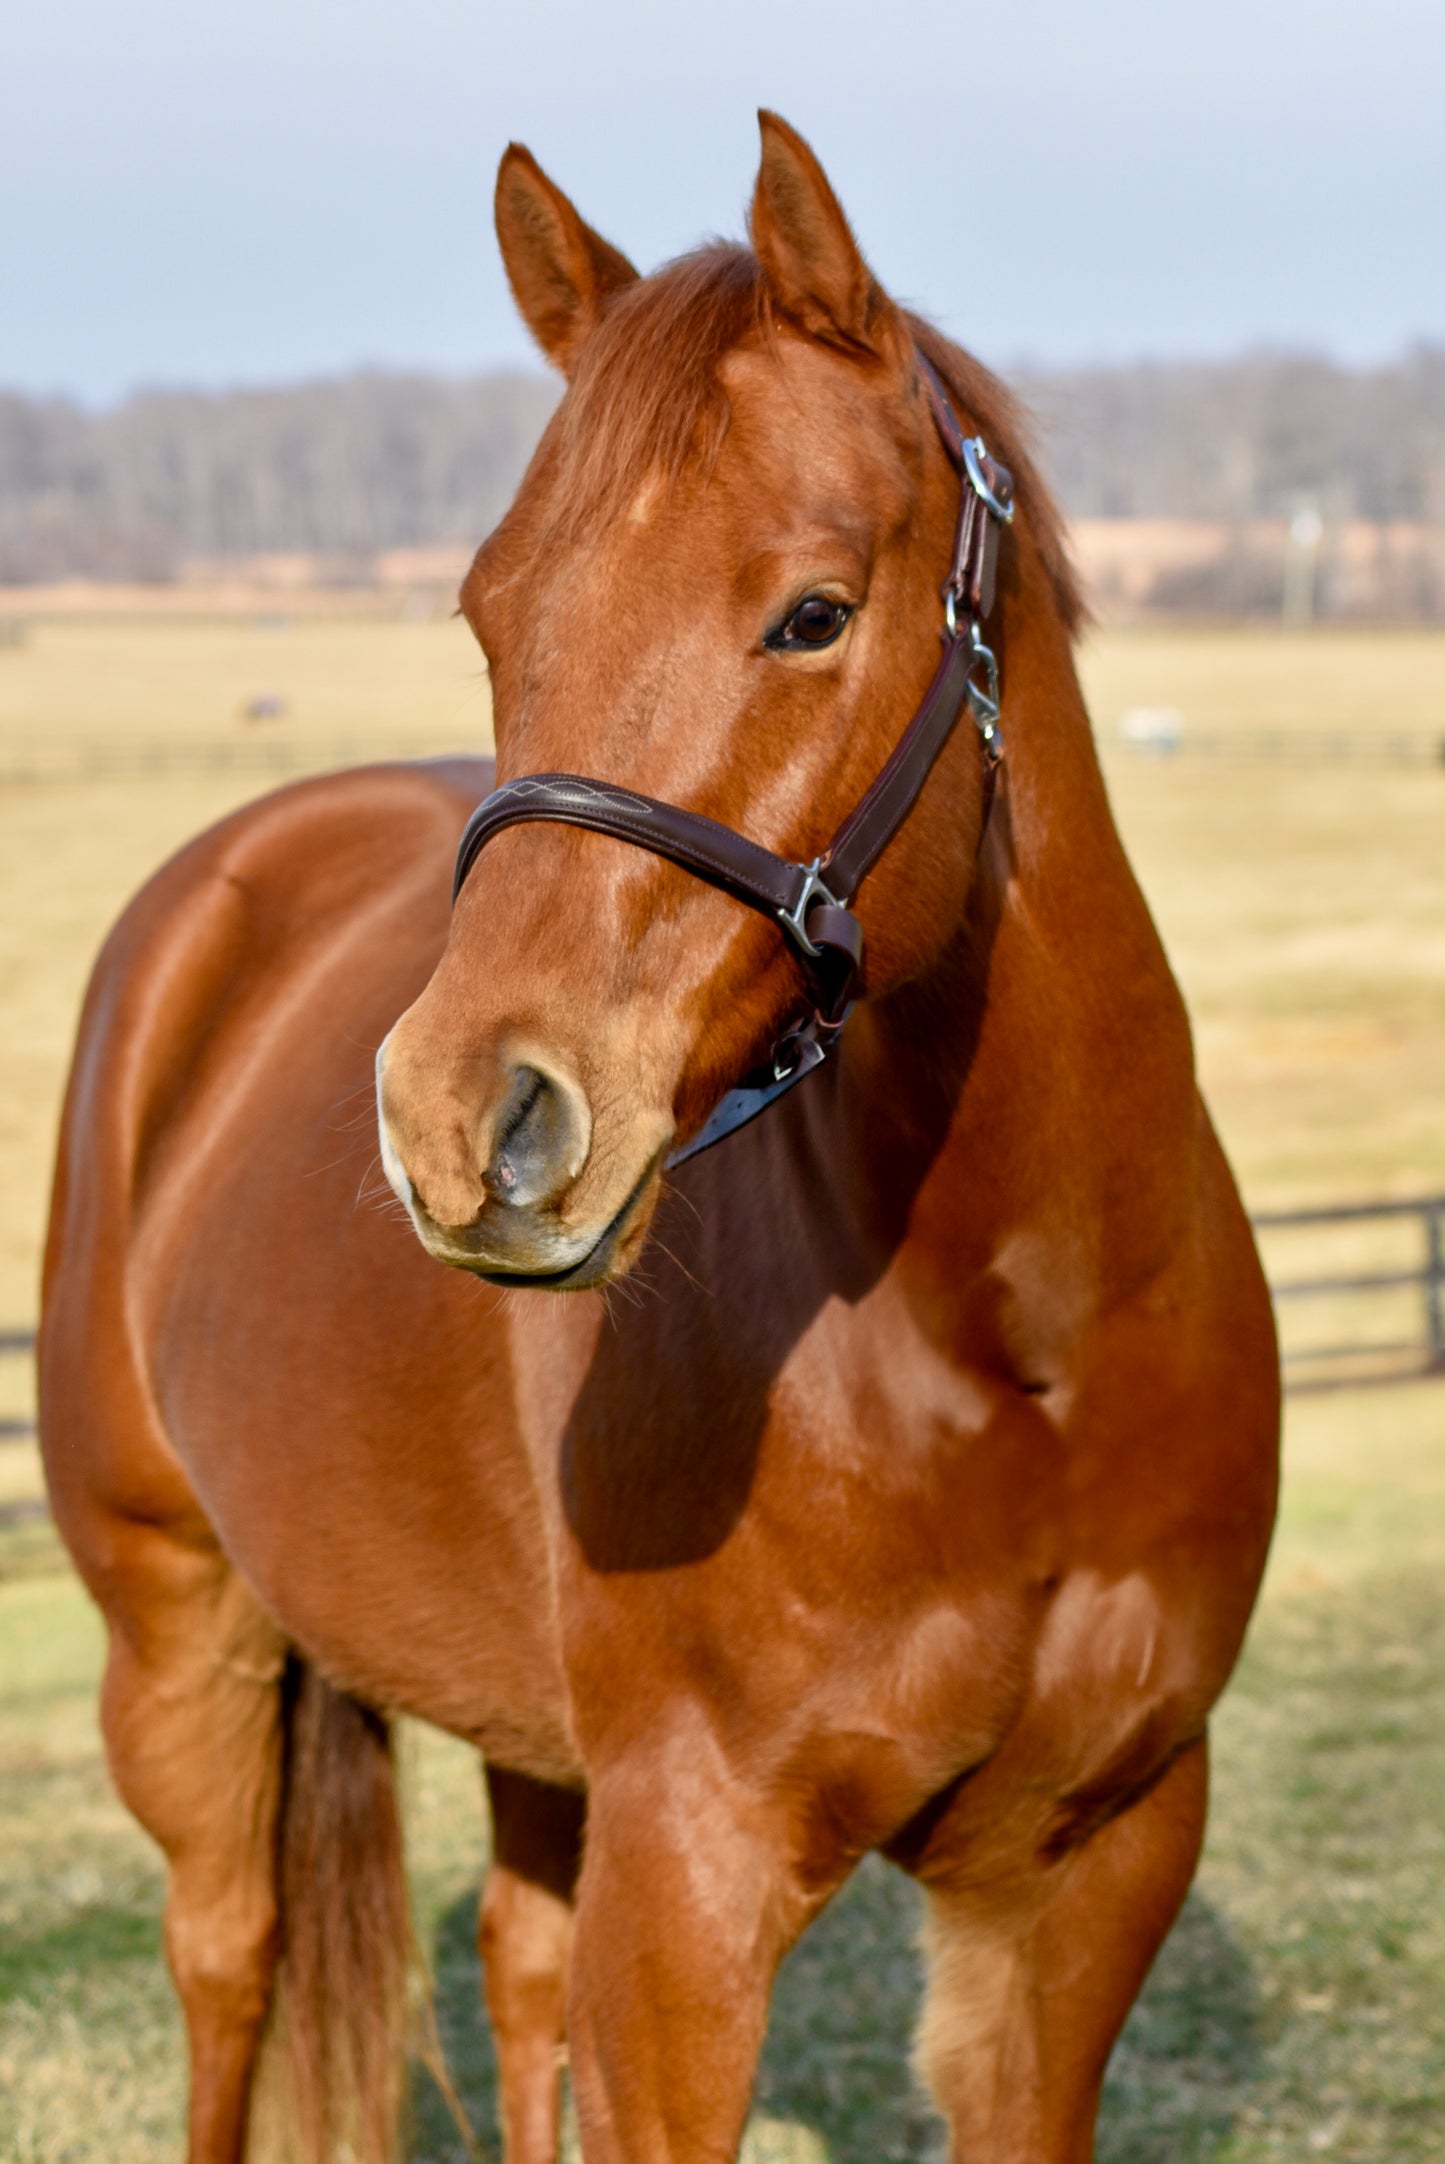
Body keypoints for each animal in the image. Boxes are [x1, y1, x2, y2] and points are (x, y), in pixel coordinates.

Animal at [36, 114, 1271, 2164]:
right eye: (492, 612)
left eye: (813, 611)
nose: (466, 1118)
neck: (1018, 1348)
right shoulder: (688, 1891)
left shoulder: (1085, 1875)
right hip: (180, 1638)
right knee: (228, 1965)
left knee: (511, 1971)